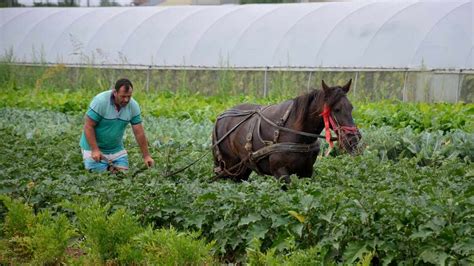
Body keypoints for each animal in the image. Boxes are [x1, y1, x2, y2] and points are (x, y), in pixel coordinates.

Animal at [213, 79, 362, 183]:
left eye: (351, 107)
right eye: (336, 109)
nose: (354, 139)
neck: (296, 132)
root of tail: (221, 117)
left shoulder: (306, 171)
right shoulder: (281, 172)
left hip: (242, 168)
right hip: (227, 165)